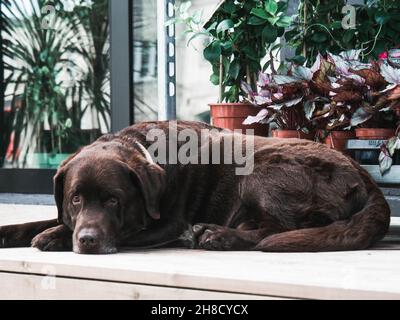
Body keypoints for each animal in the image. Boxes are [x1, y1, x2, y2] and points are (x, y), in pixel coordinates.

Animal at [0, 121, 390, 254]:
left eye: (114, 200)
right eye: (76, 198)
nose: (88, 240)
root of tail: (368, 180)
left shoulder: (166, 223)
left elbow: (125, 230)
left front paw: (54, 237)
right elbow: (41, 221)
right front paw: (14, 232)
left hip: (261, 169)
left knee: (277, 229)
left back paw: (216, 235)